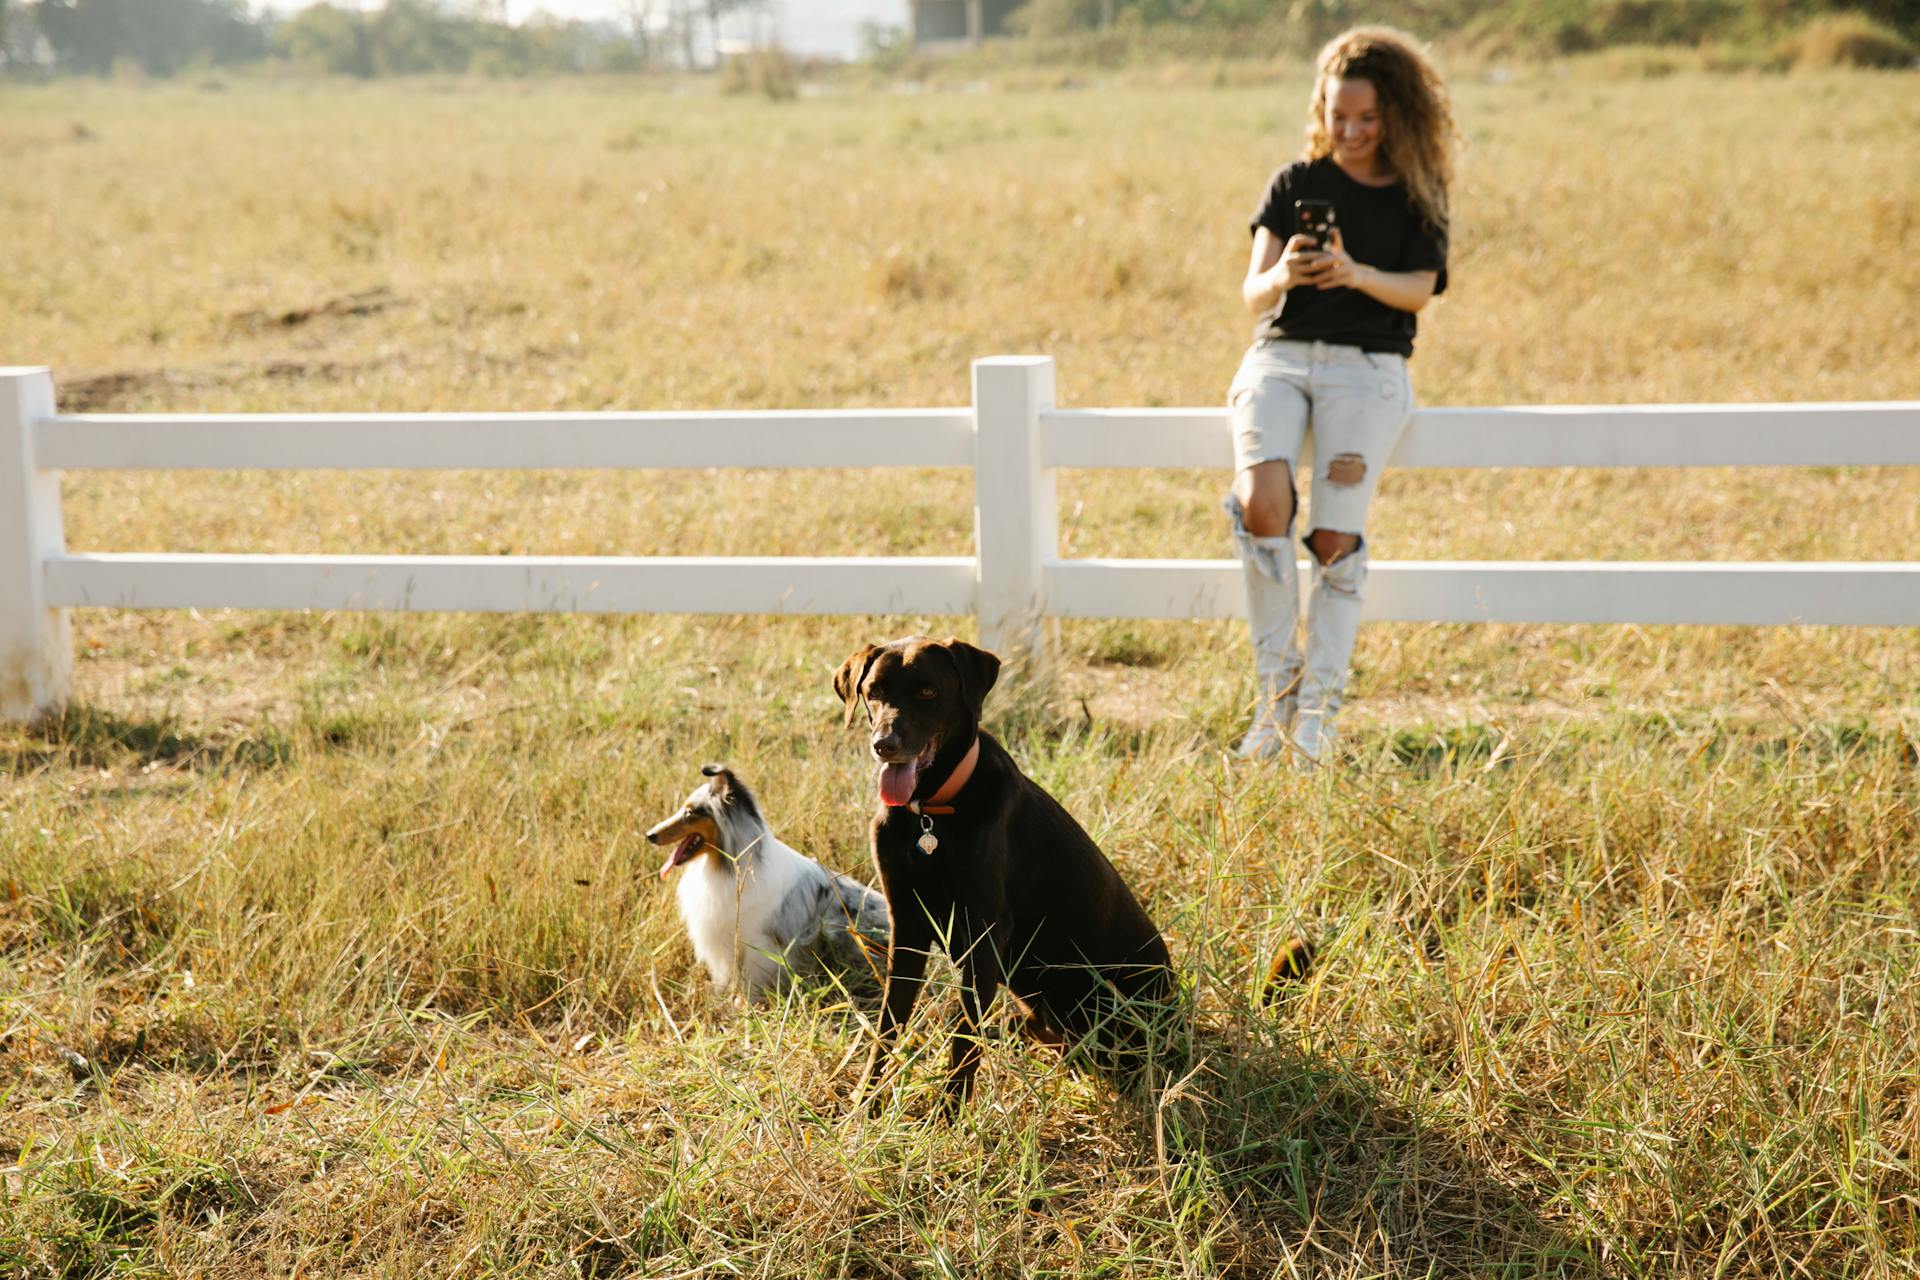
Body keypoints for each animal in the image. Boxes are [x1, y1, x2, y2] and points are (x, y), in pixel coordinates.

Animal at [833, 637, 1175, 1105]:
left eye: (928, 692)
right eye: (874, 691)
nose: (885, 744)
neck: (930, 816)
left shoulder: (985, 932)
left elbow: (963, 1038)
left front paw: (950, 1113)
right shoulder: (906, 924)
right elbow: (889, 1024)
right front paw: (867, 1104)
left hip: (1095, 997)